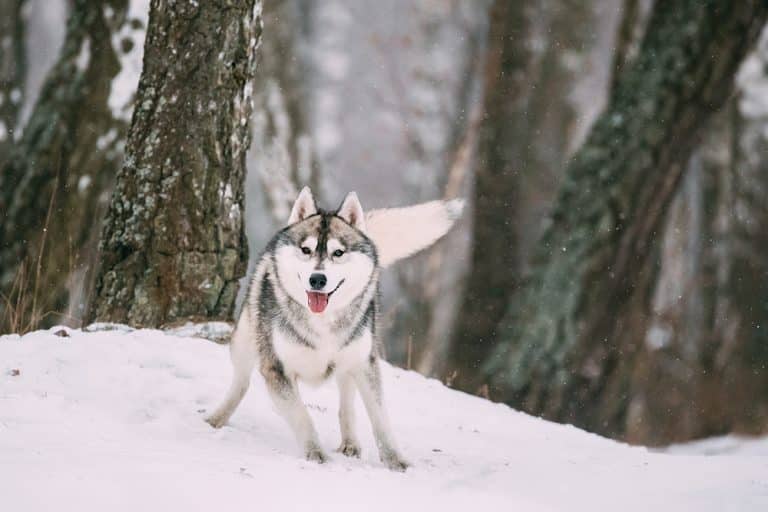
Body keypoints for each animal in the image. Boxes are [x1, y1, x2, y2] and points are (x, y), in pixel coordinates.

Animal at [206, 186, 462, 470]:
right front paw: (315, 454)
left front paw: (395, 461)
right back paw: (217, 418)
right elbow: (302, 415)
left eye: (338, 253)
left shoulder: (365, 362)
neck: (323, 323)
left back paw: (350, 443)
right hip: (244, 343)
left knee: (346, 402)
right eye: (306, 250)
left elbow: (380, 417)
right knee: (240, 382)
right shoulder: (276, 369)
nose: (317, 279)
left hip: (349, 362)